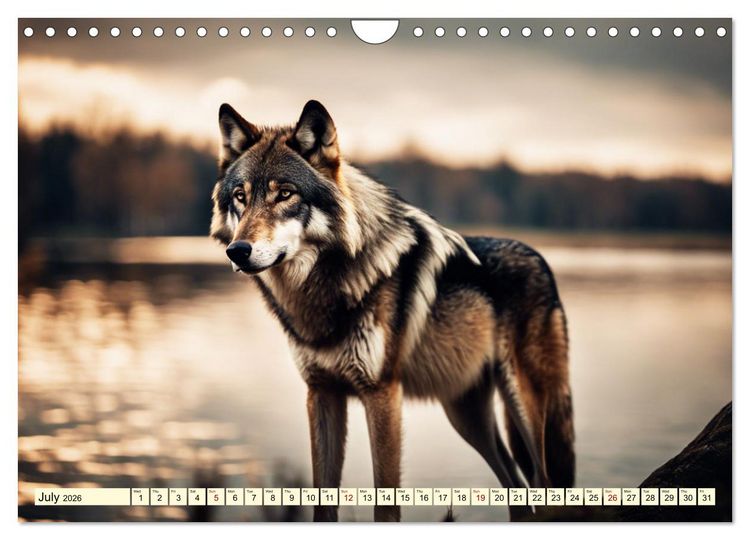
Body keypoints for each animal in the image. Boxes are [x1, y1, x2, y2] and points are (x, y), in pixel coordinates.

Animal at [210, 100, 574, 522]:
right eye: (240, 196)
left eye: (285, 194)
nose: (238, 251)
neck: (324, 292)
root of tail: (542, 261)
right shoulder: (321, 393)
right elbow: (323, 501)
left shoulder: (382, 393)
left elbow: (385, 503)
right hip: (467, 418)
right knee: (518, 488)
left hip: (523, 405)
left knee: (543, 484)